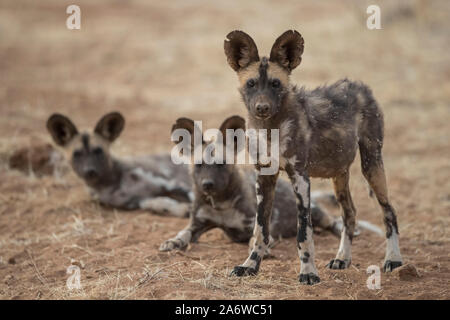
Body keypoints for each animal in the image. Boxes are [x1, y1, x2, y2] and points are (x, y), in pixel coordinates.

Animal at [46, 111, 192, 216]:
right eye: (77, 154)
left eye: (98, 151)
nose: (90, 171)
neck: (111, 184)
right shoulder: (140, 201)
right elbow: (160, 205)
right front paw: (183, 209)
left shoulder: (170, 183)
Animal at [160, 116, 364, 254]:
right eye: (199, 165)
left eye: (222, 164)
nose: (207, 184)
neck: (221, 204)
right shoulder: (196, 224)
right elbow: (183, 234)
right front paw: (173, 242)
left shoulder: (256, 224)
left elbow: (256, 239)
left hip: (313, 211)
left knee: (333, 220)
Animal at [223, 30, 402, 284]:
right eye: (251, 84)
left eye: (276, 84)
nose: (262, 108)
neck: (270, 130)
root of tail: (360, 86)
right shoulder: (264, 179)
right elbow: (260, 230)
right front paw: (250, 265)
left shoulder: (300, 178)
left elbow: (303, 233)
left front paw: (308, 272)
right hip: (339, 175)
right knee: (349, 214)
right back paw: (342, 258)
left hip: (372, 164)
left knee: (389, 212)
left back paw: (393, 259)